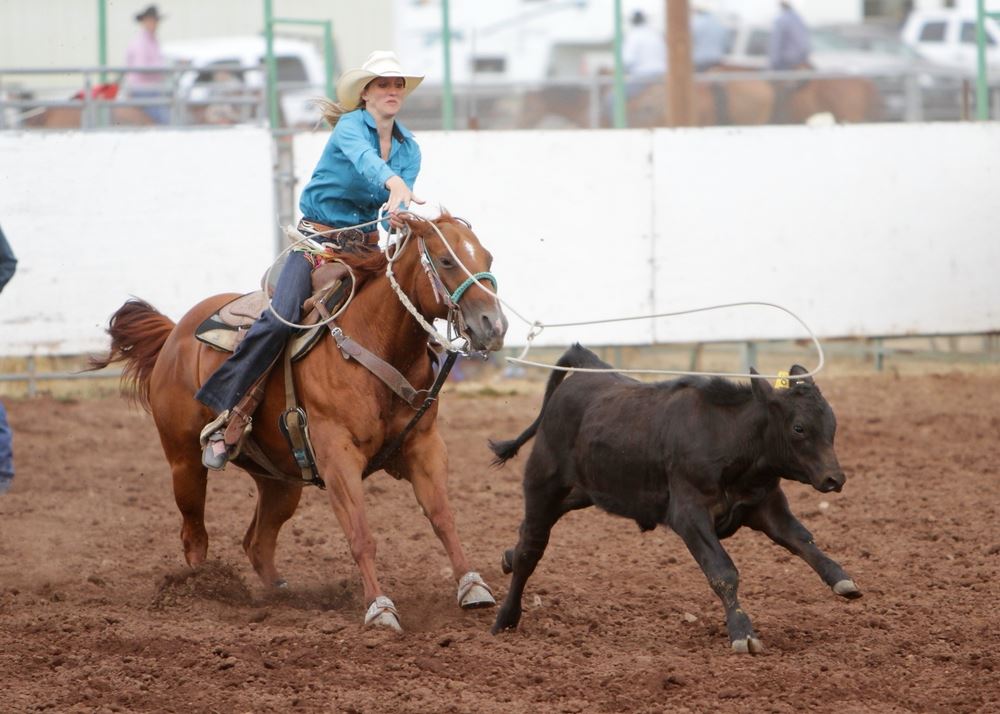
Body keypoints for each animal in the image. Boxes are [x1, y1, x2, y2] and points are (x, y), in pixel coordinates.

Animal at [489, 344, 861, 653]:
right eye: (799, 428)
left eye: (831, 423)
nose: (834, 479)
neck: (729, 437)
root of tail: (585, 371)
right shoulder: (690, 515)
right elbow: (723, 571)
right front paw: (743, 633)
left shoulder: (765, 505)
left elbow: (801, 540)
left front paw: (841, 579)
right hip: (543, 484)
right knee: (532, 547)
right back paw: (506, 617)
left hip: (590, 489)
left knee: (533, 532)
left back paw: (508, 556)